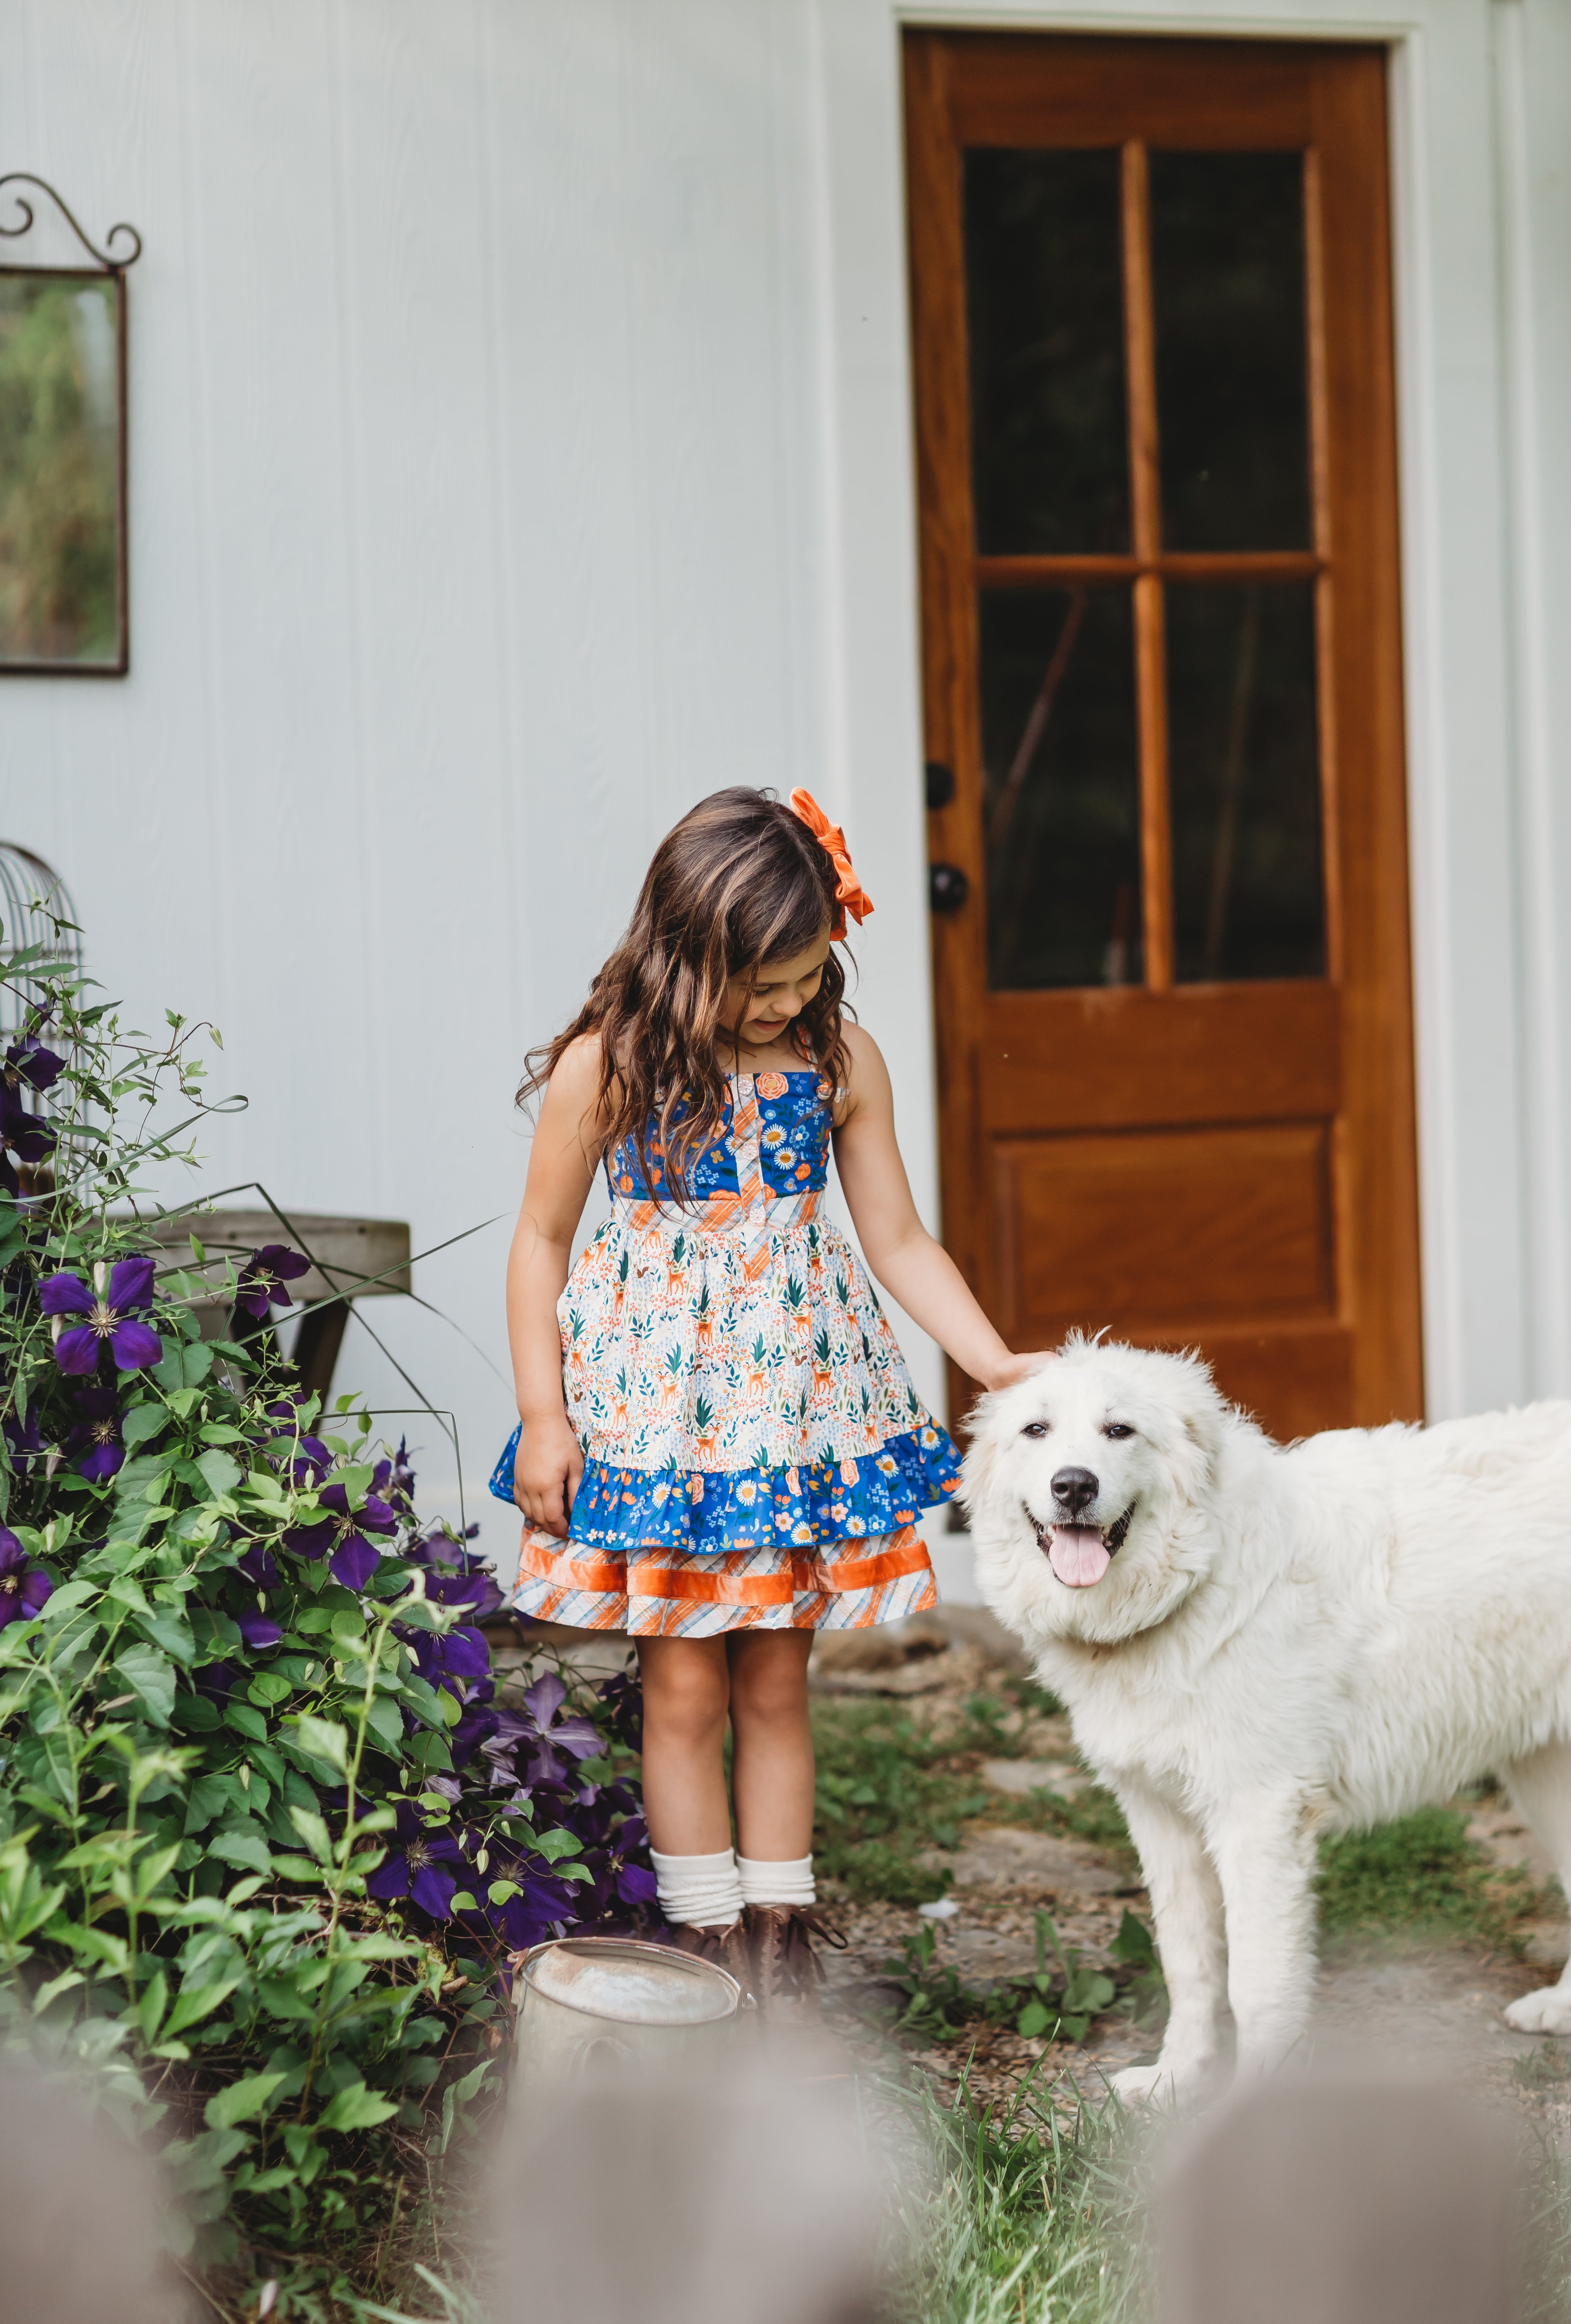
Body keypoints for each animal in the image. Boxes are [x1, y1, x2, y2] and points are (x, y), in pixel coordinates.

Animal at [962, 1329, 1571, 2110]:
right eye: (1035, 1430)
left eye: (1118, 1429)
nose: (1073, 1485)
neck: (1194, 1583)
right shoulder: (1159, 1818)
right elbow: (1188, 1965)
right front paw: (1176, 2077)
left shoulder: (1259, 1816)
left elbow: (1255, 1987)